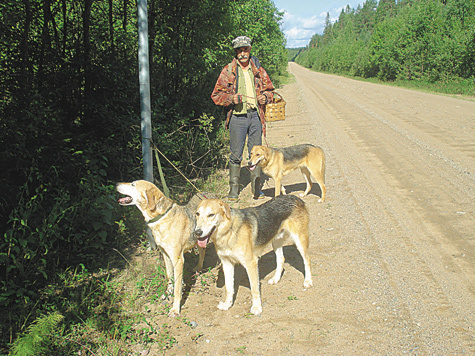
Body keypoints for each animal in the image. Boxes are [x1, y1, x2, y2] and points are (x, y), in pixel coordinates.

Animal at [116, 181, 205, 318]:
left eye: (132, 184)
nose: (116, 183)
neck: (161, 217)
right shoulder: (166, 255)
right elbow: (169, 277)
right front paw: (168, 294)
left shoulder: (178, 260)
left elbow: (178, 289)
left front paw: (175, 308)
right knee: (202, 252)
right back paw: (198, 268)